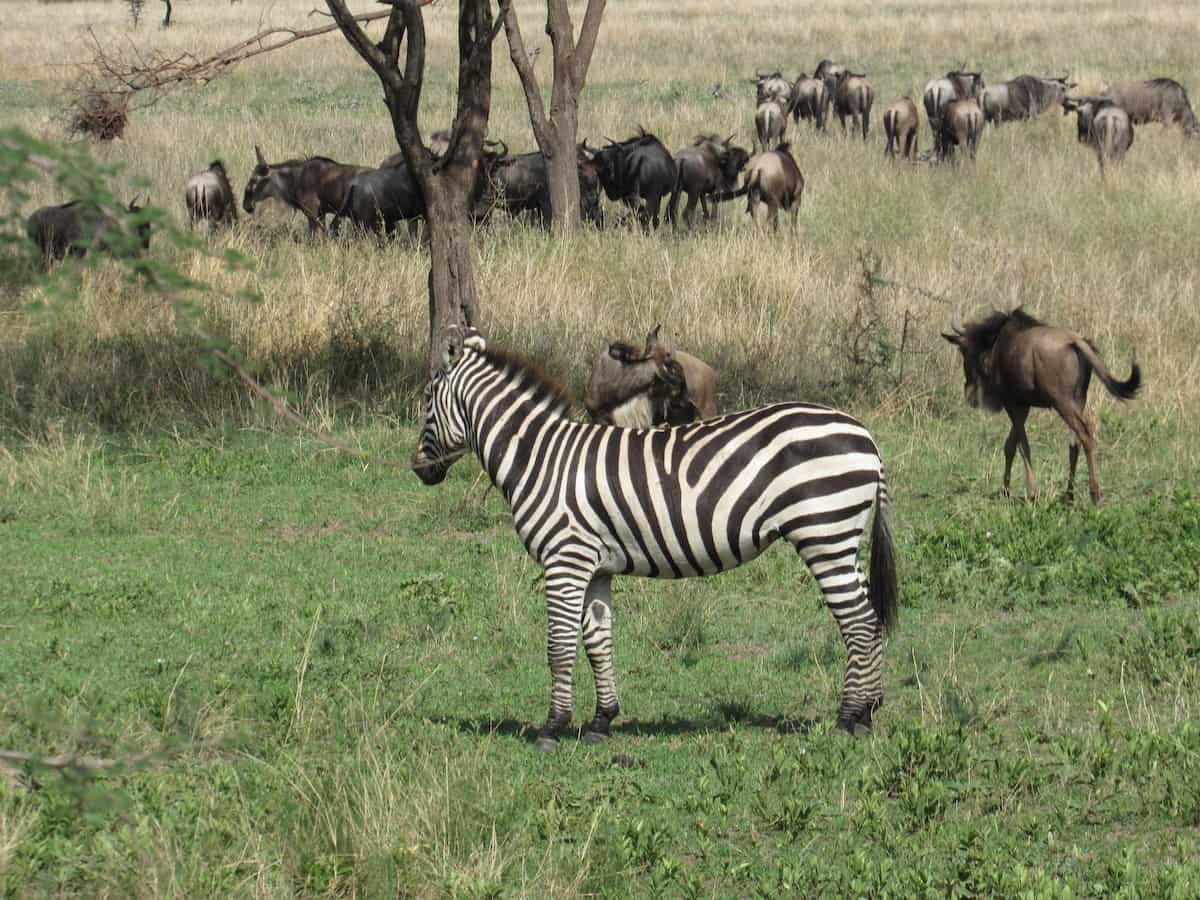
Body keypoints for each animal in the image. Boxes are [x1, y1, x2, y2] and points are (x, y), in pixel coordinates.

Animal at [412, 327, 898, 750]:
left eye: (427, 404)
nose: (419, 470)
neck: (541, 458)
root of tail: (865, 434)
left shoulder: (565, 559)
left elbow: (559, 645)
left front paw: (552, 727)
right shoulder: (595, 567)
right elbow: (598, 642)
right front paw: (602, 721)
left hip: (824, 534)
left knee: (857, 622)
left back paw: (847, 719)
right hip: (842, 537)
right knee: (870, 616)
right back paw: (868, 713)